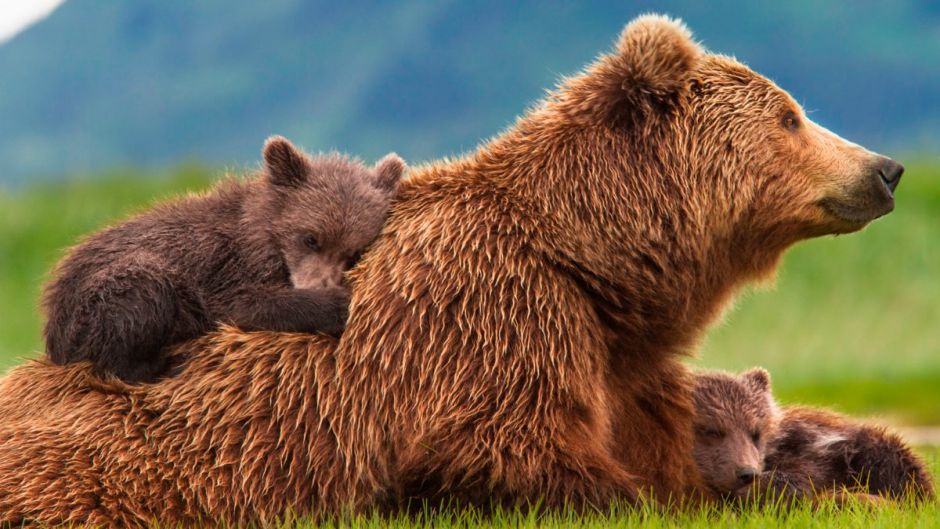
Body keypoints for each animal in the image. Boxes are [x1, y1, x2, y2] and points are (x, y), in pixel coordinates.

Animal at [0, 14, 904, 524]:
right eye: (791, 115)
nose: (887, 167)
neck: (592, 260)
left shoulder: (614, 359)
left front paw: (852, 470)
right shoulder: (493, 323)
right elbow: (524, 458)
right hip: (100, 469)